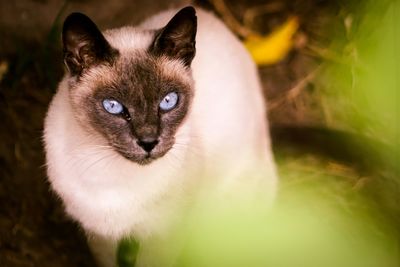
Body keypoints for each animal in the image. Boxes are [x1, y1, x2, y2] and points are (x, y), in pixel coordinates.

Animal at [42, 4, 276, 267]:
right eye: (113, 106)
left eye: (168, 101)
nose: (148, 142)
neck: (114, 177)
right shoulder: (101, 235)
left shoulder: (164, 237)